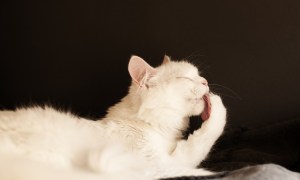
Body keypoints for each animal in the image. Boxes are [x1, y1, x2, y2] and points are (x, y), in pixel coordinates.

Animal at [0, 55, 226, 179]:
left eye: (198, 74)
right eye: (185, 78)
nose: (206, 82)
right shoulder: (161, 165)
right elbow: (199, 145)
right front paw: (218, 105)